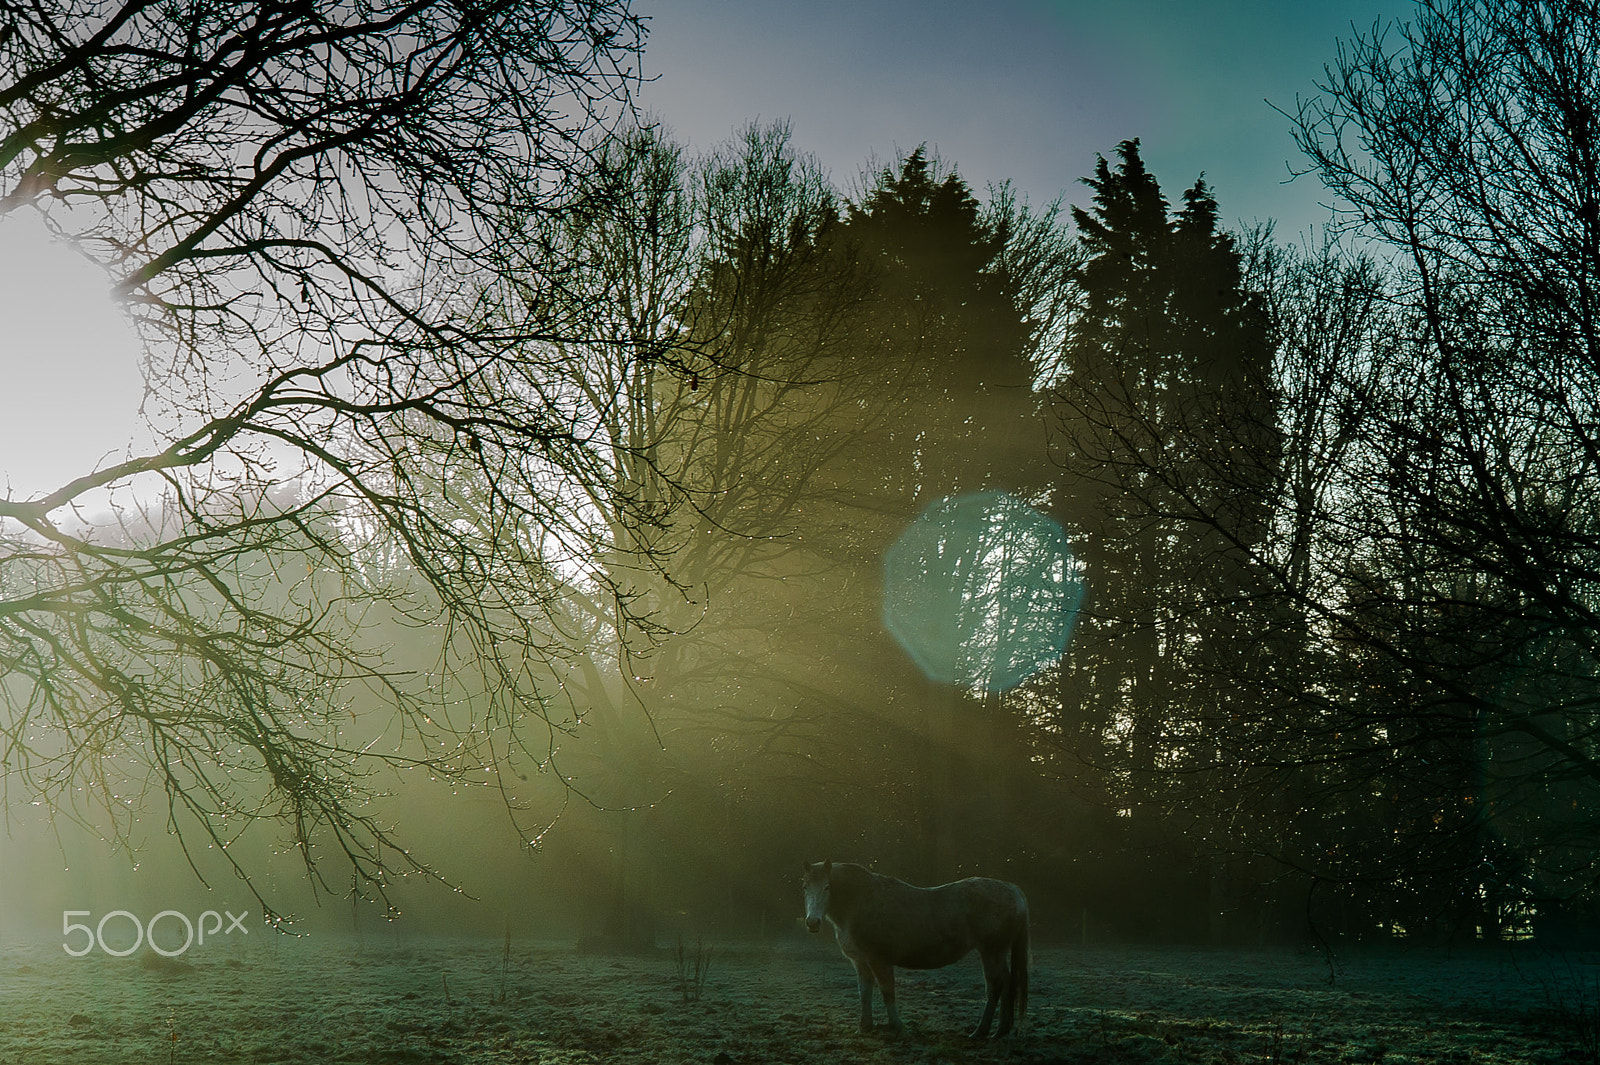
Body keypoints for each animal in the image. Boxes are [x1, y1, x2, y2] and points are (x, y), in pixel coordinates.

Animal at [806, 857, 1030, 1036]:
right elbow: (864, 993)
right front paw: (864, 1027)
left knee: (995, 985)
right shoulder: (860, 962)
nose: (812, 922)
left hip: (991, 951)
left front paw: (897, 1026)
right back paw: (1001, 1030)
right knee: (1007, 982)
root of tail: (1014, 891)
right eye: (805, 887)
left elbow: (887, 992)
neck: (861, 902)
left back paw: (981, 1031)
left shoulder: (880, 960)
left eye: (827, 887)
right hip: (997, 952)